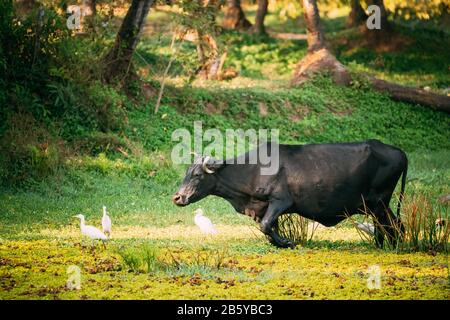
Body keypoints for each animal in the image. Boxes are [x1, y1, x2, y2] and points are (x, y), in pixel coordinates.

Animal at [172, 139, 408, 248]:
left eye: (197, 175)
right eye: (187, 172)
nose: (177, 197)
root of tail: (397, 151)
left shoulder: (281, 201)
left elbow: (266, 225)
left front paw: (287, 242)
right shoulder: (264, 207)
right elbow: (269, 227)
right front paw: (279, 243)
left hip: (379, 202)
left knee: (394, 225)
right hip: (376, 205)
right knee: (390, 225)